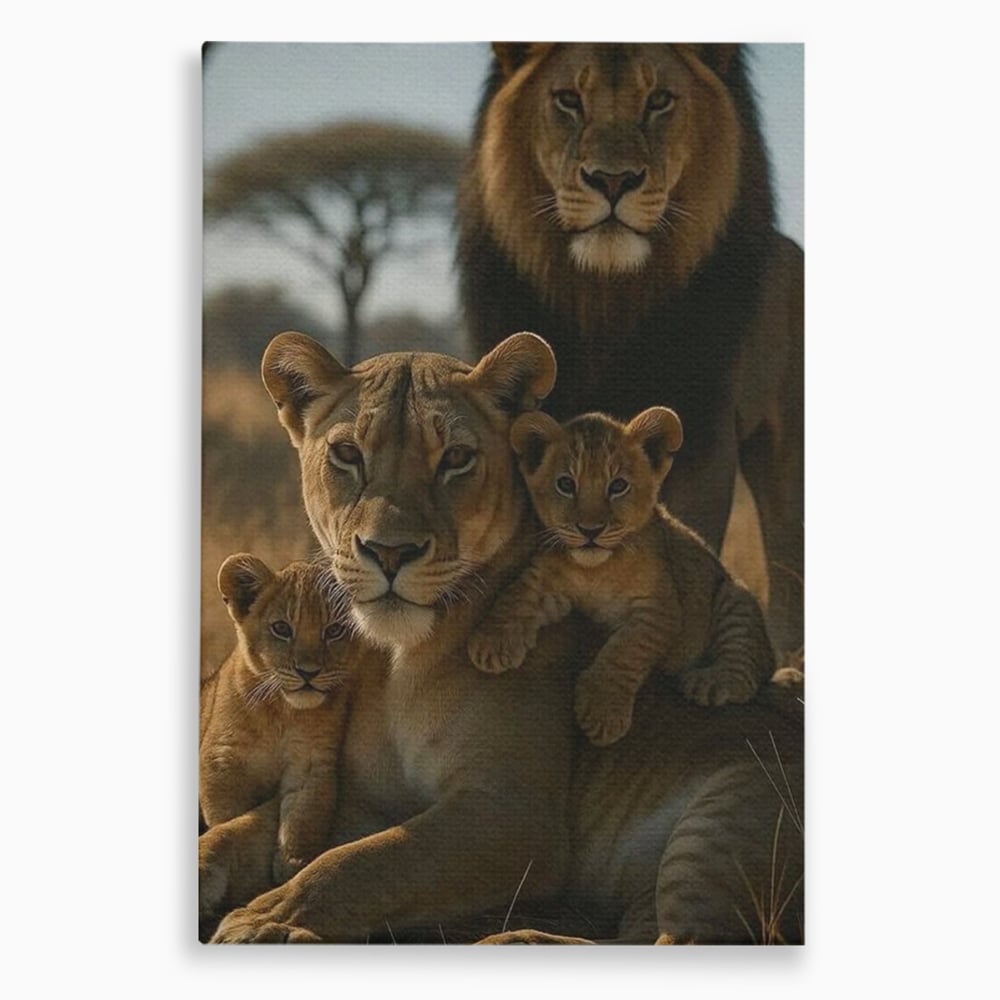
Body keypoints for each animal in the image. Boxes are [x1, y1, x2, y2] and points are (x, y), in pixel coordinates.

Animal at [468, 408, 775, 747]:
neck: (596, 570)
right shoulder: (546, 582)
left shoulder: (661, 609)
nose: (590, 530)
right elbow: (516, 596)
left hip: (735, 599)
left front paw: (602, 714)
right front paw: (491, 643)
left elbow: (625, 651)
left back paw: (707, 681)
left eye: (617, 486)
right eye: (566, 484)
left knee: (749, 667)